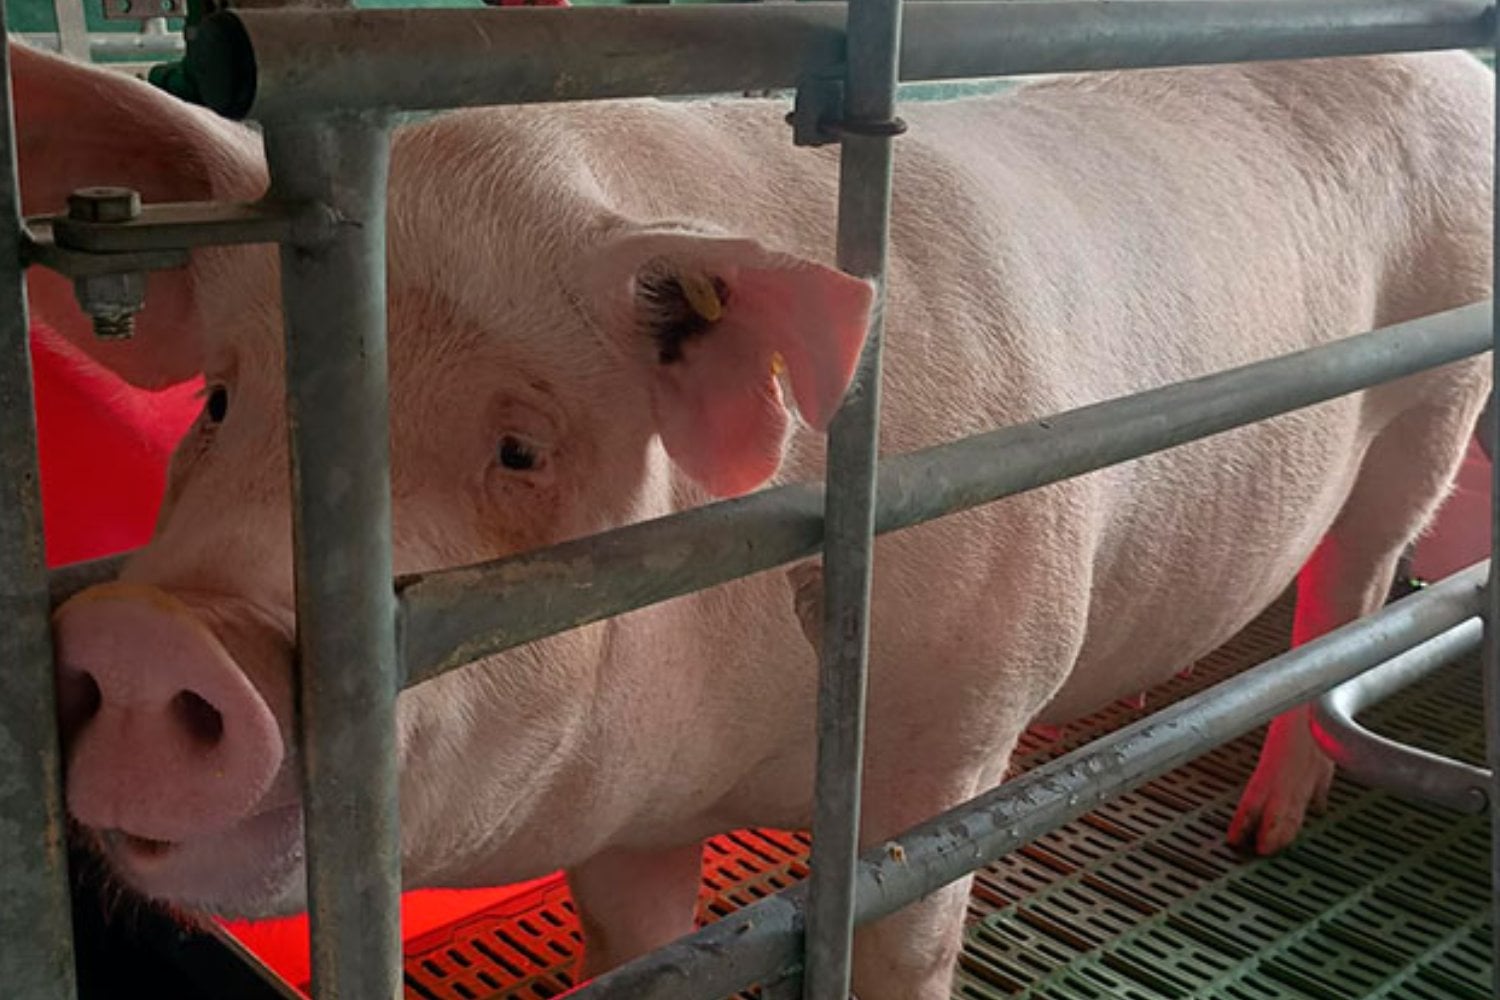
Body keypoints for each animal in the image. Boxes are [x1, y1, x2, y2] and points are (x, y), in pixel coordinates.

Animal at [16, 39, 1493, 999]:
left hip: (1431, 402)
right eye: (220, 401)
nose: (155, 637)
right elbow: (644, 952)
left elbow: (909, 939)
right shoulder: (623, 828)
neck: (746, 744)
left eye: (521, 445)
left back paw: (1261, 830)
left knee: (1356, 586)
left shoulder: (959, 734)